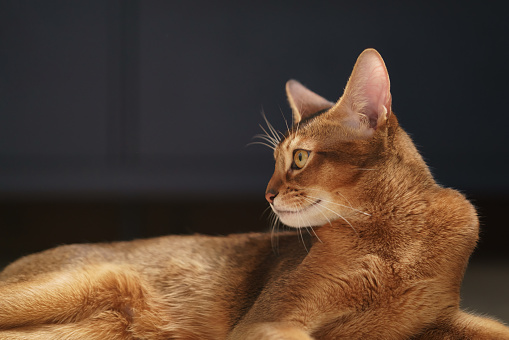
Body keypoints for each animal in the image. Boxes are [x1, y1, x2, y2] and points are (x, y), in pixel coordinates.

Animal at [0, 48, 508, 340]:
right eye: (276, 161)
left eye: (298, 158)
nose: (266, 194)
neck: (399, 236)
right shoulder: (269, 321)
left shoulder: (438, 320)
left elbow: (494, 327)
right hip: (94, 281)